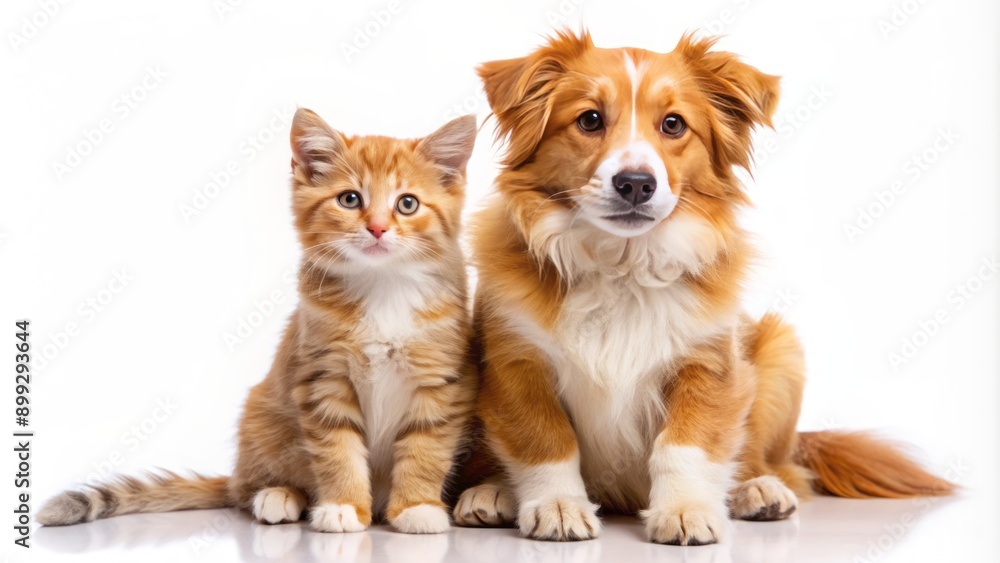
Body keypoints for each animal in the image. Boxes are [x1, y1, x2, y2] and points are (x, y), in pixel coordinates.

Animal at [38, 108, 476, 536]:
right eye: (350, 199)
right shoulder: (323, 377)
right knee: (247, 489)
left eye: (407, 204)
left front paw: (417, 507)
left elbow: (426, 448)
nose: (378, 228)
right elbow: (338, 450)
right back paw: (278, 496)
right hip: (263, 421)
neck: (383, 286)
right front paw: (343, 506)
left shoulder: (440, 381)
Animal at [454, 32, 952, 548]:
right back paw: (491, 492)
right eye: (589, 119)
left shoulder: (710, 367)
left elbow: (686, 446)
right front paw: (557, 505)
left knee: (765, 462)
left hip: (780, 352)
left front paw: (684, 510)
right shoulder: (518, 363)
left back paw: (758, 490)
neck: (622, 265)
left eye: (674, 124)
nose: (636, 183)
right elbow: (546, 441)